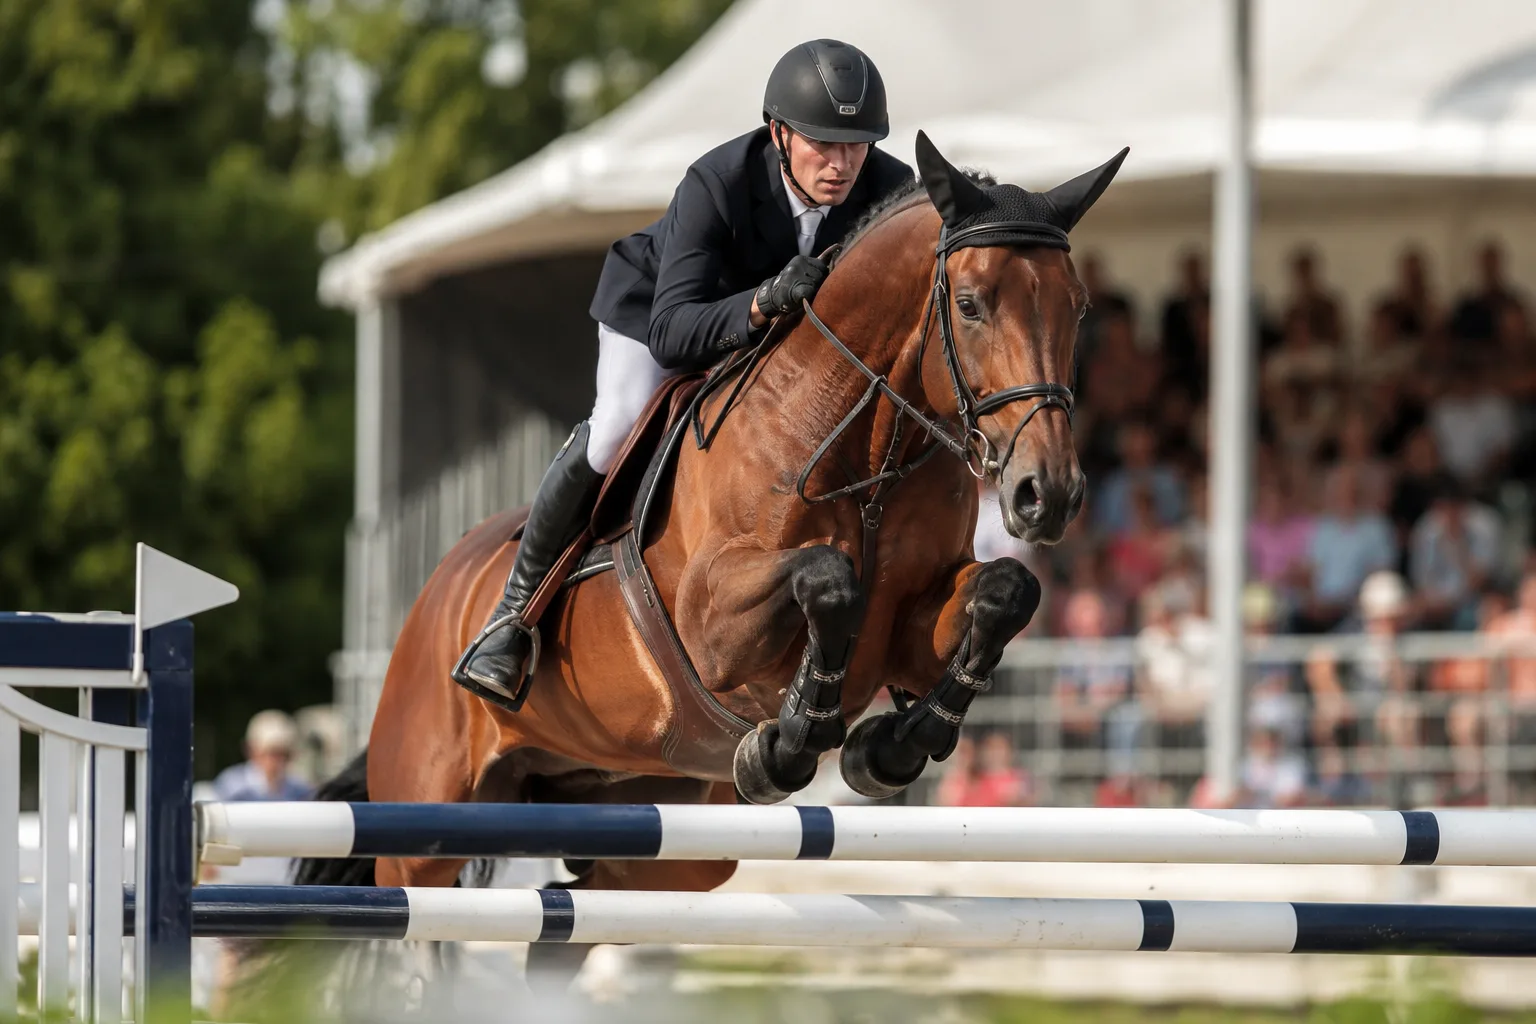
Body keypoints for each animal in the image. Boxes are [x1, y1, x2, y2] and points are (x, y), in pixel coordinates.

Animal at [286, 132, 1126, 988]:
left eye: (1078, 308)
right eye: (970, 305)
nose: (1047, 494)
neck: (865, 446)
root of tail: (433, 598)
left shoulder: (911, 626)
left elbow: (1006, 593)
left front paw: (889, 748)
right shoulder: (711, 625)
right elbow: (829, 579)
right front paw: (789, 742)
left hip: (658, 841)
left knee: (570, 923)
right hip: (427, 823)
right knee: (418, 930)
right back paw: (497, 654)